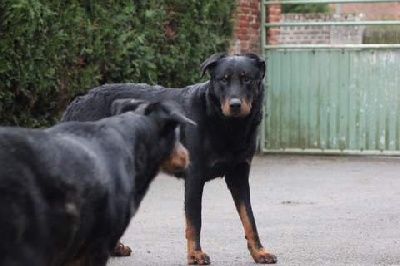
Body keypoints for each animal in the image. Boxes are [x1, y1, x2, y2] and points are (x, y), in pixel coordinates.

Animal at [61, 53, 276, 264]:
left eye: (247, 79)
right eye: (223, 80)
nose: (235, 105)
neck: (227, 125)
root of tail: (76, 102)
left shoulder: (239, 176)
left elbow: (249, 218)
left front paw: (259, 251)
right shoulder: (194, 177)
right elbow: (194, 221)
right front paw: (195, 254)